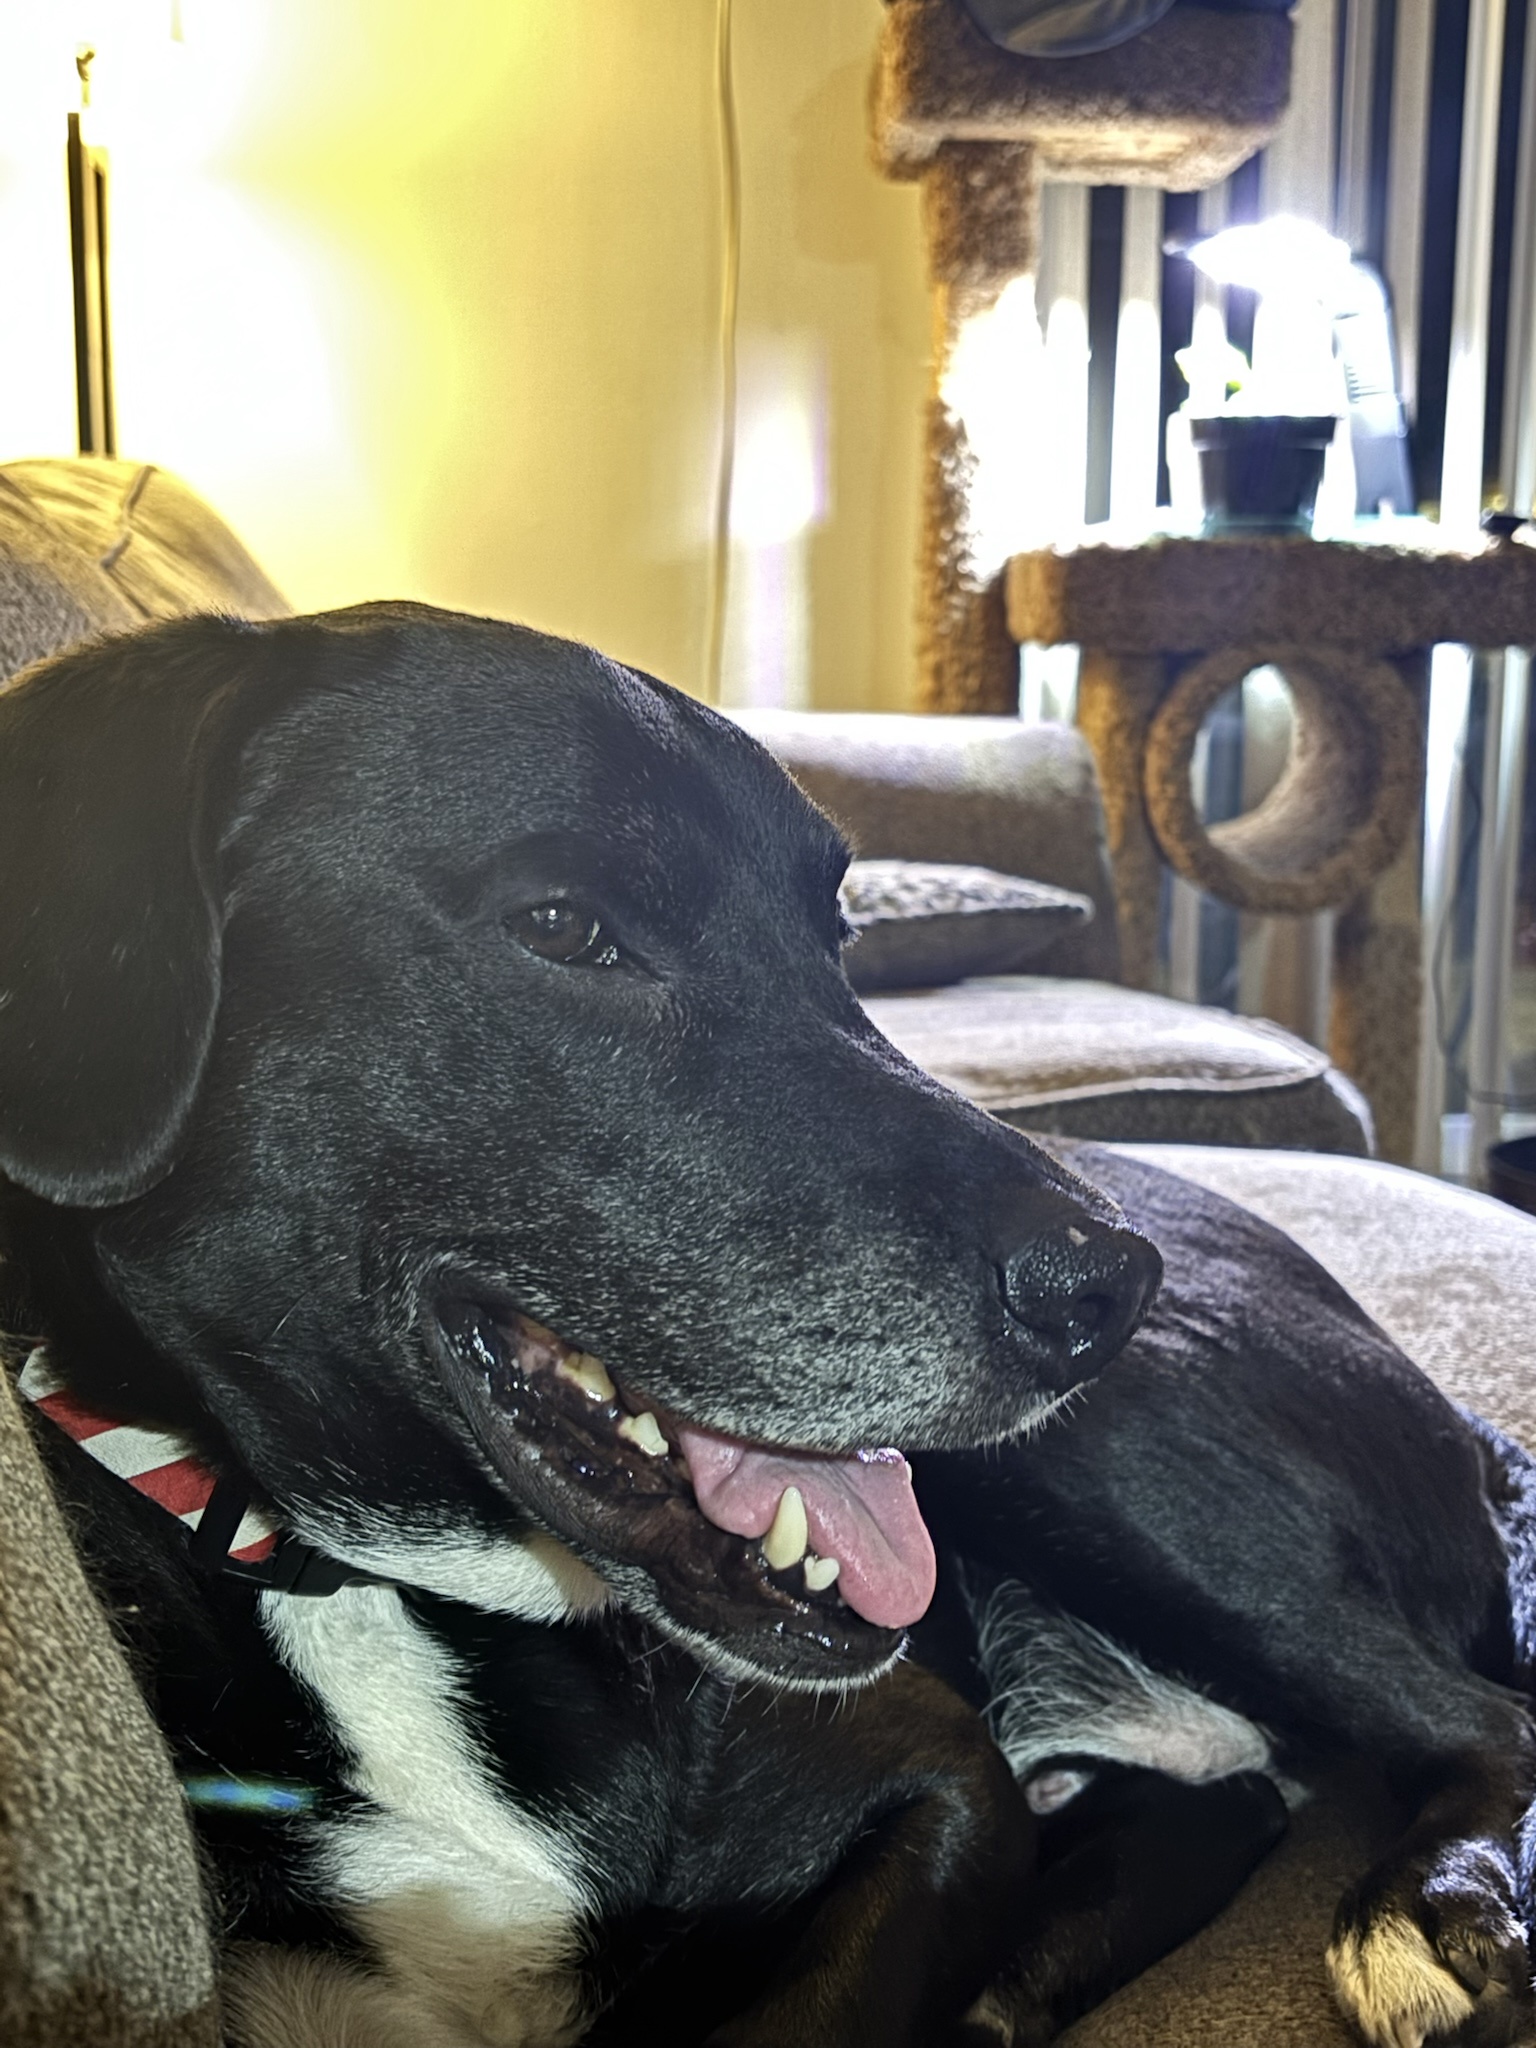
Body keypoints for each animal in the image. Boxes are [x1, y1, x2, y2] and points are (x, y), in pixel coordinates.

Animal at [3, 606, 1536, 2048]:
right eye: (563, 926)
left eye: (836, 942)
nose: (1112, 1288)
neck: (376, 1586)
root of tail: (1473, 1429)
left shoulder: (943, 1779)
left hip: (1108, 1466)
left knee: (1486, 1722)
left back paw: (1420, 1910)